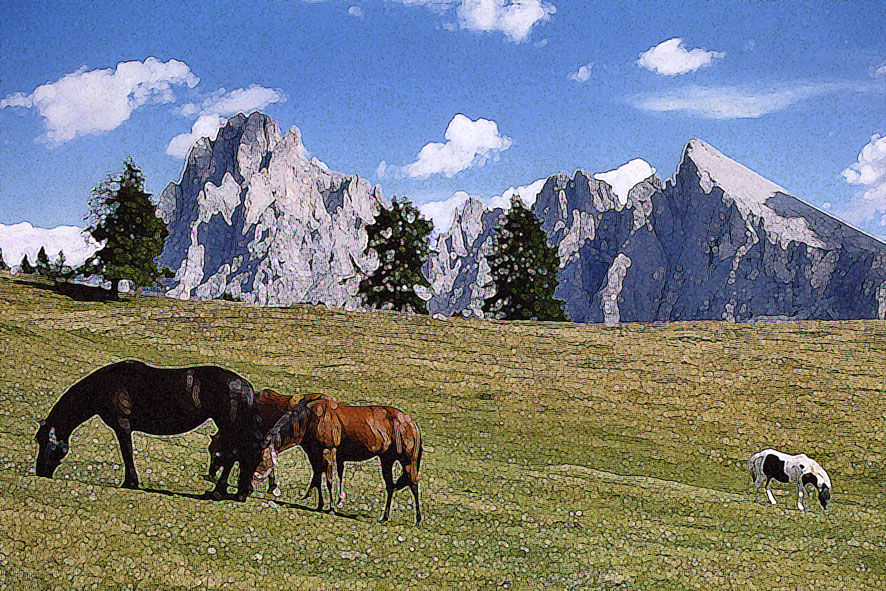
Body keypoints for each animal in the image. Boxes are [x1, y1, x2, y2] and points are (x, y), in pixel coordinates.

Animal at [34, 360, 265, 501]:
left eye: (44, 441)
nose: (40, 472)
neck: (105, 384)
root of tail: (247, 387)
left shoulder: (122, 425)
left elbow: (127, 452)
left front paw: (130, 482)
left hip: (229, 426)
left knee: (232, 455)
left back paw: (219, 492)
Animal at [264, 395, 424, 525]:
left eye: (263, 458)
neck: (312, 418)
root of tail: (411, 423)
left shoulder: (327, 451)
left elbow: (329, 480)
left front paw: (331, 508)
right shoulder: (315, 454)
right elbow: (318, 477)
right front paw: (320, 505)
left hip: (408, 461)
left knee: (414, 485)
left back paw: (417, 519)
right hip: (387, 460)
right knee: (391, 486)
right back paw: (384, 518)